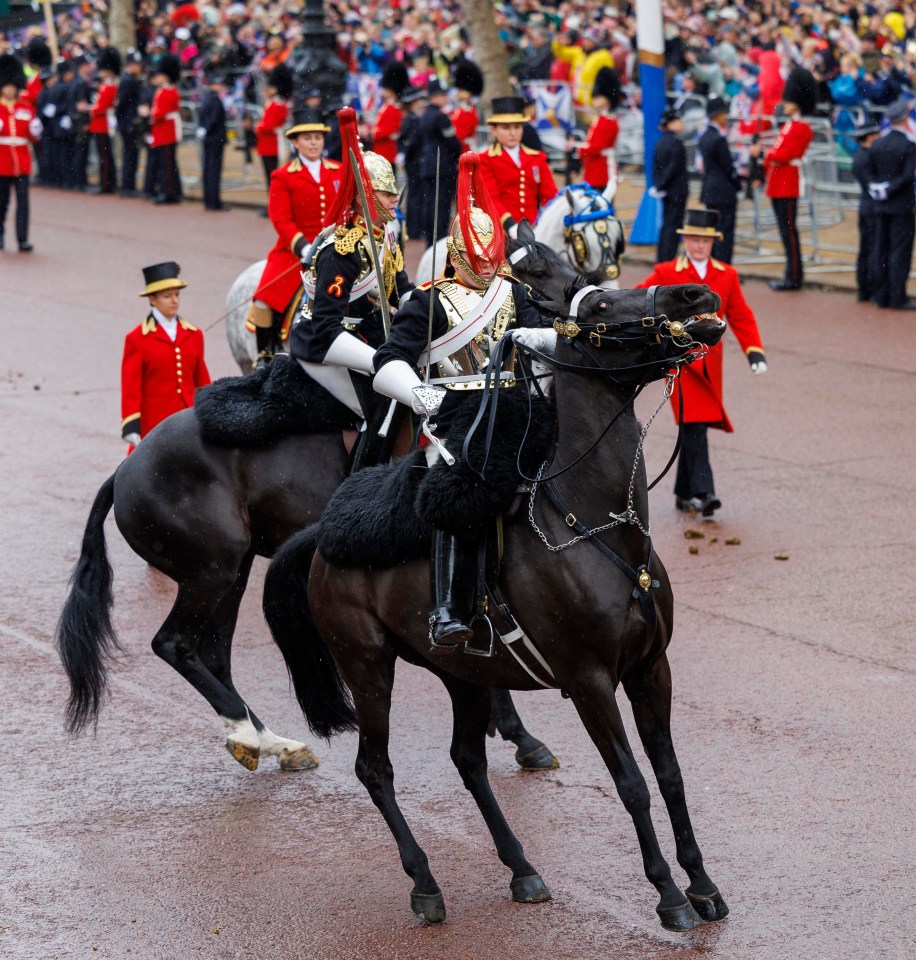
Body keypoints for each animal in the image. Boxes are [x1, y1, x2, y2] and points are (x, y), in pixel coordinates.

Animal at [55, 223, 588, 772]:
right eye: (534, 270)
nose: (584, 300)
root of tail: (126, 469)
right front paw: (518, 733)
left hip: (232, 569)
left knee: (214, 652)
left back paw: (267, 740)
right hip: (211, 570)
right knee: (176, 644)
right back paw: (249, 730)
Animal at [262, 284, 728, 928]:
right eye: (602, 306)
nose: (695, 293)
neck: (599, 527)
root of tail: (321, 533)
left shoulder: (650, 669)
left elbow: (671, 775)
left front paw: (703, 884)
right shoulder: (589, 680)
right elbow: (631, 782)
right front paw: (669, 895)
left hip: (465, 673)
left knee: (467, 760)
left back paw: (522, 869)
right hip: (367, 666)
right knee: (374, 768)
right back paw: (425, 883)